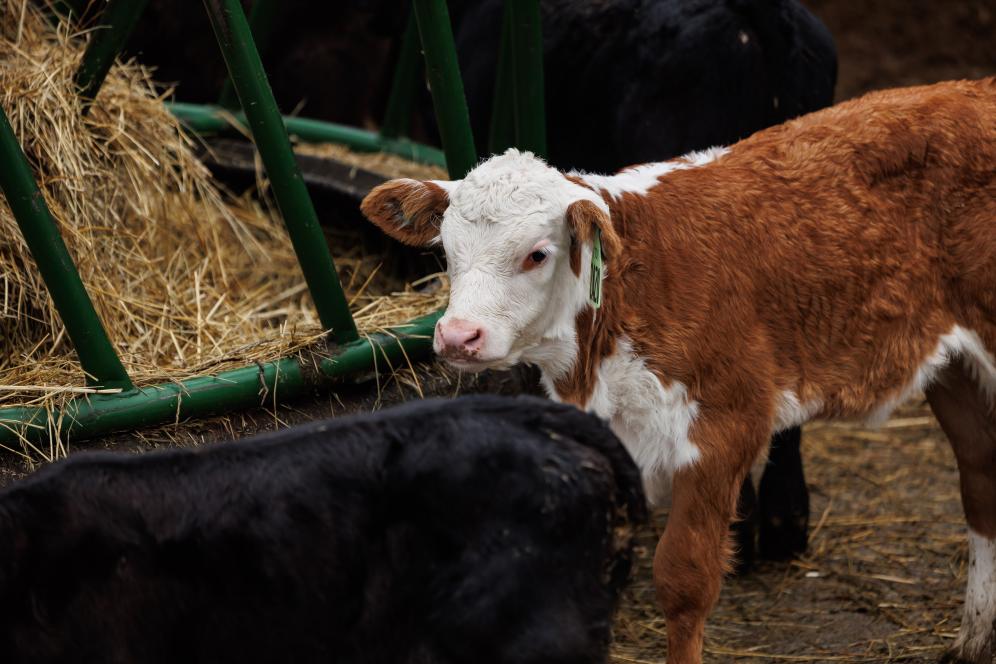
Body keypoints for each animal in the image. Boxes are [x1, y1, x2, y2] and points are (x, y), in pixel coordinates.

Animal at [360, 77, 996, 664]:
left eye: (537, 254)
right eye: (447, 251)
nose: (458, 336)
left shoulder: (723, 427)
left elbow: (684, 582)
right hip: (958, 371)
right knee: (980, 480)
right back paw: (973, 638)